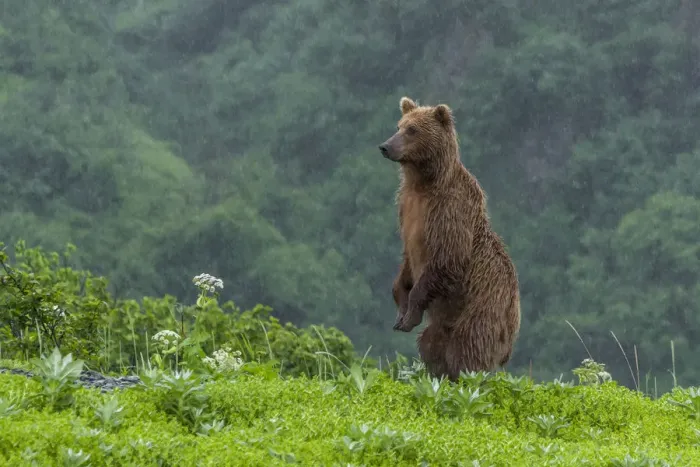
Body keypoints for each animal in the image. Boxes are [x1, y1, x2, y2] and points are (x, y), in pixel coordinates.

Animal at [378, 96, 521, 381]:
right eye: (399, 125)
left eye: (412, 130)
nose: (385, 146)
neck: (424, 183)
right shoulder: (406, 208)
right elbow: (406, 263)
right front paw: (400, 312)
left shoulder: (449, 211)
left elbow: (447, 259)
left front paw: (409, 313)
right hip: (444, 325)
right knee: (431, 344)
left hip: (482, 311)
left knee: (468, 349)